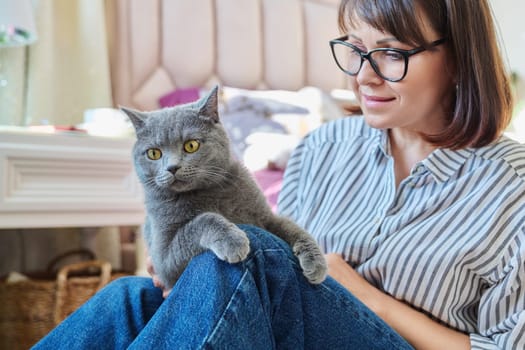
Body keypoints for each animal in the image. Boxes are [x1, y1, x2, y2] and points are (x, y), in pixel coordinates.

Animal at [123, 87, 328, 290]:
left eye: (191, 145)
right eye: (153, 153)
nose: (172, 168)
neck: (207, 192)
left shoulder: (266, 218)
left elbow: (293, 228)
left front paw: (316, 262)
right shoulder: (163, 263)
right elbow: (201, 220)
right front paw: (233, 241)